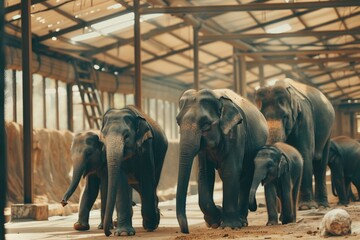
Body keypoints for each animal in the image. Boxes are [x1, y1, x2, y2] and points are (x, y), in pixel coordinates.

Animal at [100, 105, 167, 236]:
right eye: (104, 136)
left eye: (126, 136)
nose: (109, 233)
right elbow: (121, 182)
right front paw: (124, 233)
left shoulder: (146, 146)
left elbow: (147, 178)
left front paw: (150, 226)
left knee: (151, 183)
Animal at [174, 88, 268, 232]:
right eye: (178, 122)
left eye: (205, 125)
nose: (186, 231)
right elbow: (205, 174)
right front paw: (215, 221)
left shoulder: (236, 132)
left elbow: (230, 170)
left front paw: (229, 226)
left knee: (245, 178)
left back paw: (242, 221)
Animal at [256, 78, 334, 209]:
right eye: (261, 117)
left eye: (285, 116)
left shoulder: (305, 118)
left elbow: (304, 154)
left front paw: (306, 207)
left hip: (327, 134)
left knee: (320, 164)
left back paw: (322, 205)